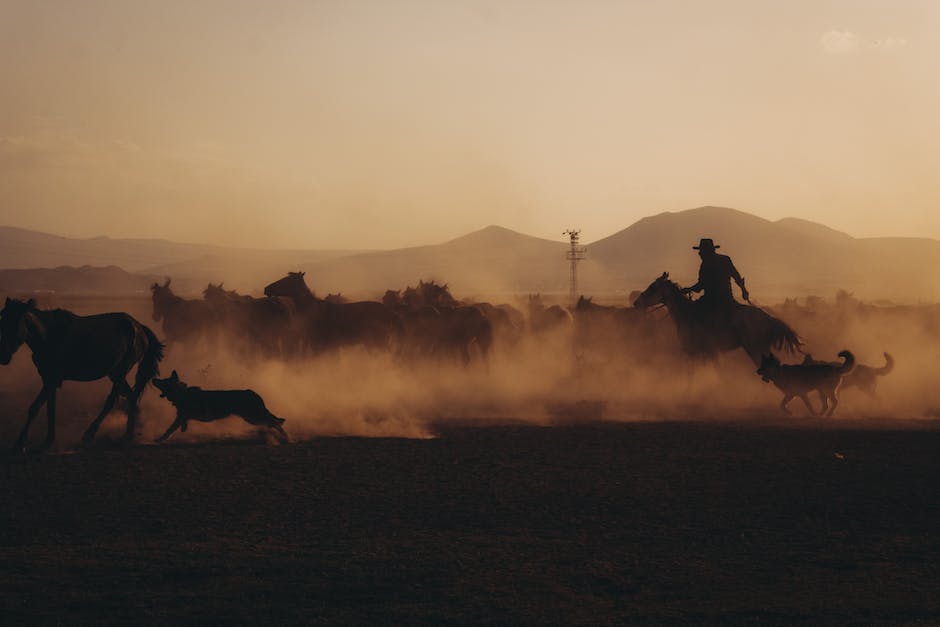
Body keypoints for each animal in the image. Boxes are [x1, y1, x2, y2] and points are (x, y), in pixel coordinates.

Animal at [0, 296, 165, 448]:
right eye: (3, 320)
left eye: (16, 323)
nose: (4, 356)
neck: (49, 335)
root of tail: (139, 327)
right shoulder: (48, 379)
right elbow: (50, 408)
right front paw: (49, 440)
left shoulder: (52, 379)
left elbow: (35, 407)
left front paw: (21, 442)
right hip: (114, 373)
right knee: (131, 397)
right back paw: (128, 435)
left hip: (121, 372)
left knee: (111, 401)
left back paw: (90, 433)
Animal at [151, 370, 286, 444]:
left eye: (162, 381)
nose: (153, 379)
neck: (181, 393)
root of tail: (253, 392)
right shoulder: (183, 416)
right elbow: (180, 424)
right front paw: (183, 429)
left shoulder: (181, 416)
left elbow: (169, 430)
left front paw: (160, 439)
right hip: (253, 417)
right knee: (272, 422)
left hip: (253, 416)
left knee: (274, 421)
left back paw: (285, 437)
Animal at [632, 272, 800, 366]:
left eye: (653, 287)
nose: (636, 303)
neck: (686, 313)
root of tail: (768, 317)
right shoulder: (706, 352)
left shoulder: (694, 351)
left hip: (756, 348)